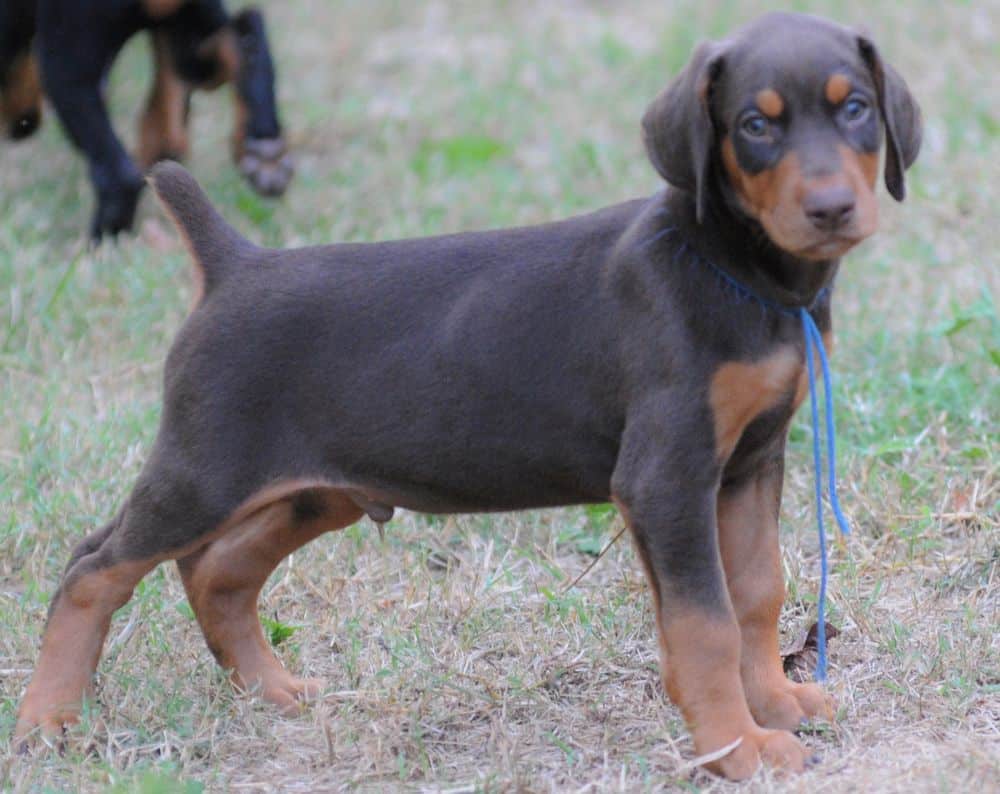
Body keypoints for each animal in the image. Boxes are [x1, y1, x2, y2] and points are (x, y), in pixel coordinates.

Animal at [0, 1, 292, 240]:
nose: (20, 126)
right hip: (189, 45)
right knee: (245, 30)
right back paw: (265, 150)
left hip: (65, 62)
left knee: (119, 174)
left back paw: (99, 247)